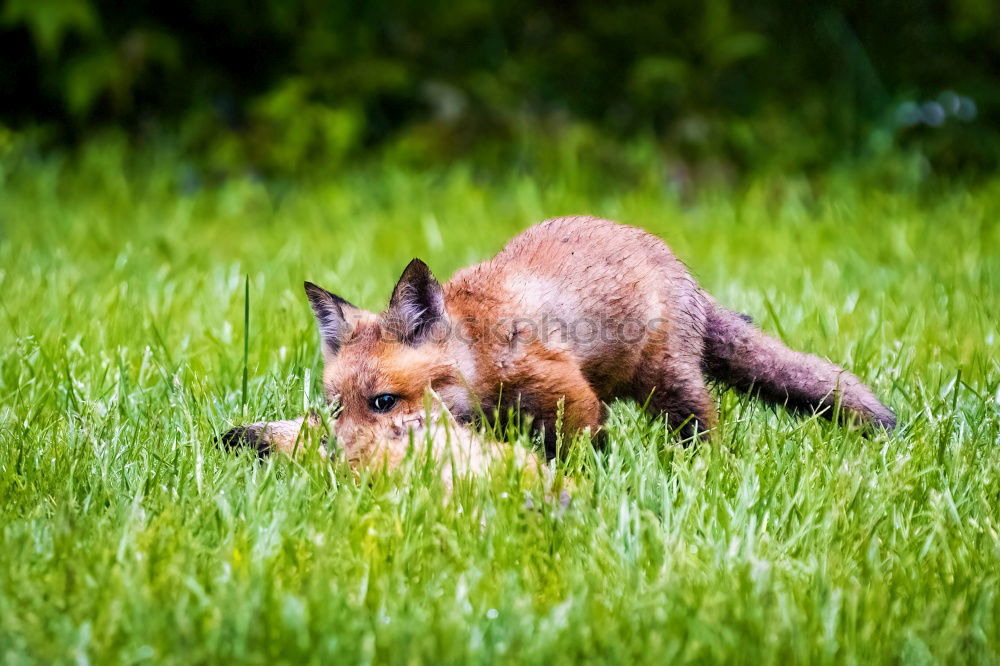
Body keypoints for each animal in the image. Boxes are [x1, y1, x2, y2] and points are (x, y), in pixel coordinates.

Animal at [223, 215, 896, 464]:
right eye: (337, 407)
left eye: (385, 402)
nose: (339, 459)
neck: (477, 363)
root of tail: (680, 269)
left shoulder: (565, 390)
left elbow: (578, 446)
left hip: (667, 386)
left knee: (701, 422)